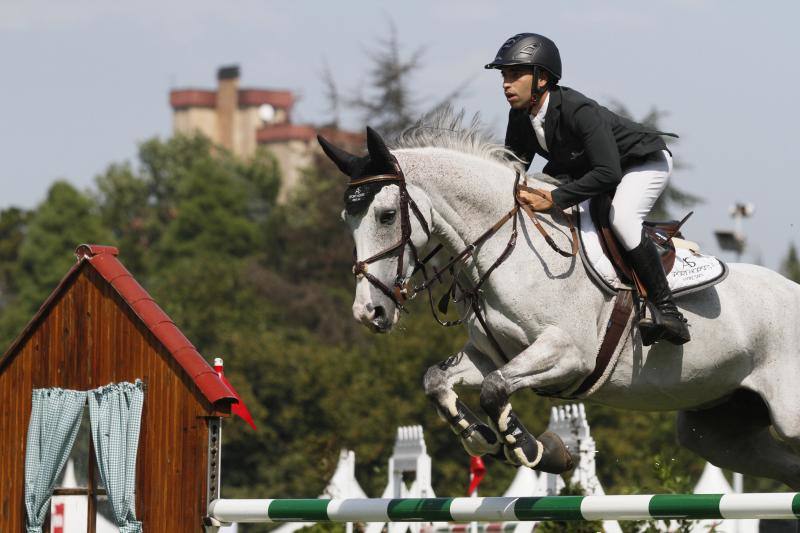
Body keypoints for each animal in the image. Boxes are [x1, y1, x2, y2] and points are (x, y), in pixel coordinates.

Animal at [316, 108, 800, 486]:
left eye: (386, 215)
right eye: (346, 219)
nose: (369, 312)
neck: (507, 247)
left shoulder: (568, 354)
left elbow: (495, 390)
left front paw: (534, 450)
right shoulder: (492, 354)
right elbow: (438, 380)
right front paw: (484, 440)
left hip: (786, 415)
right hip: (720, 432)